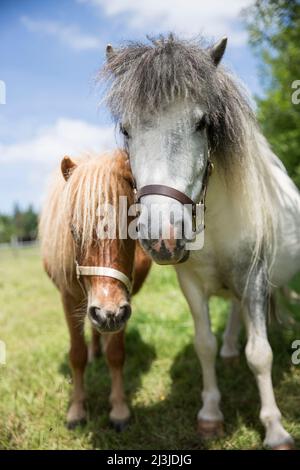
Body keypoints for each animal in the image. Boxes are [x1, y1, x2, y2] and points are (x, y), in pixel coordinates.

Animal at [39, 150, 151, 430]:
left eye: (133, 226)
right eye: (74, 230)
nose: (107, 312)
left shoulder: (123, 303)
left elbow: (116, 354)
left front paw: (119, 409)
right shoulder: (68, 298)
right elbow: (77, 355)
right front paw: (77, 410)